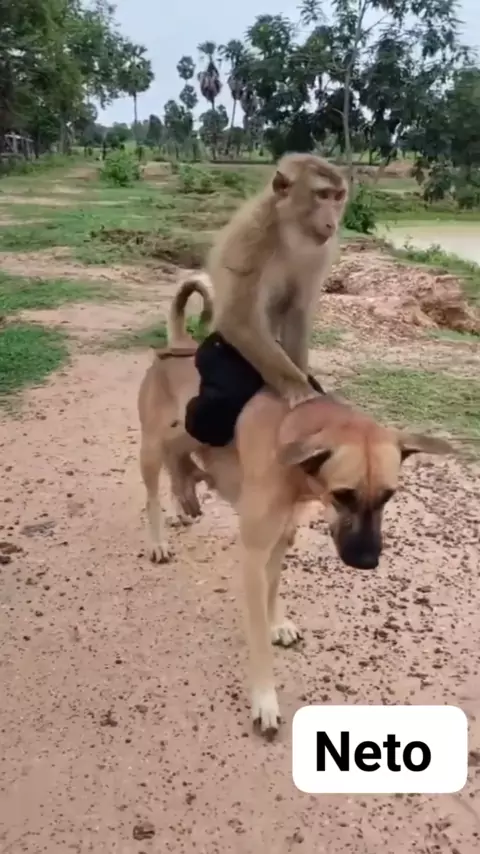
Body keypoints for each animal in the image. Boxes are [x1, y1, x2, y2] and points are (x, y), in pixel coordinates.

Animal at [137, 275, 453, 738]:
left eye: (388, 497)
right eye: (343, 495)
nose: (367, 562)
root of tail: (181, 344)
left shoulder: (282, 537)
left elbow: (274, 587)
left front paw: (277, 622)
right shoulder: (253, 554)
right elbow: (258, 636)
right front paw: (265, 699)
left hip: (186, 440)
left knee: (184, 464)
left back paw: (186, 498)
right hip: (151, 448)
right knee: (152, 493)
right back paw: (159, 537)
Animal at [206, 153, 348, 407]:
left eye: (338, 196)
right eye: (322, 195)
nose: (332, 222)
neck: (292, 231)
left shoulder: (321, 253)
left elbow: (297, 311)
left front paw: (304, 379)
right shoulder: (252, 236)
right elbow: (239, 319)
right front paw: (298, 387)